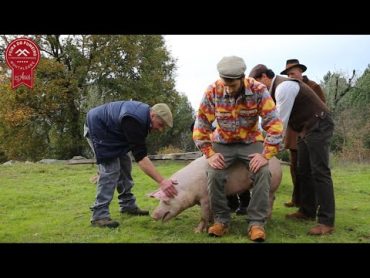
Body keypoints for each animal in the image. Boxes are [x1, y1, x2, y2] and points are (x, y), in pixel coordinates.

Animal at [149, 156, 282, 232]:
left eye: (166, 200)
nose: (153, 216)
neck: (189, 188)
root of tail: (277, 160)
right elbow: (211, 212)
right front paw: (212, 223)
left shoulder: (205, 197)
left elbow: (203, 215)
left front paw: (196, 231)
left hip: (271, 185)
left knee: (270, 200)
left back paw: (266, 222)